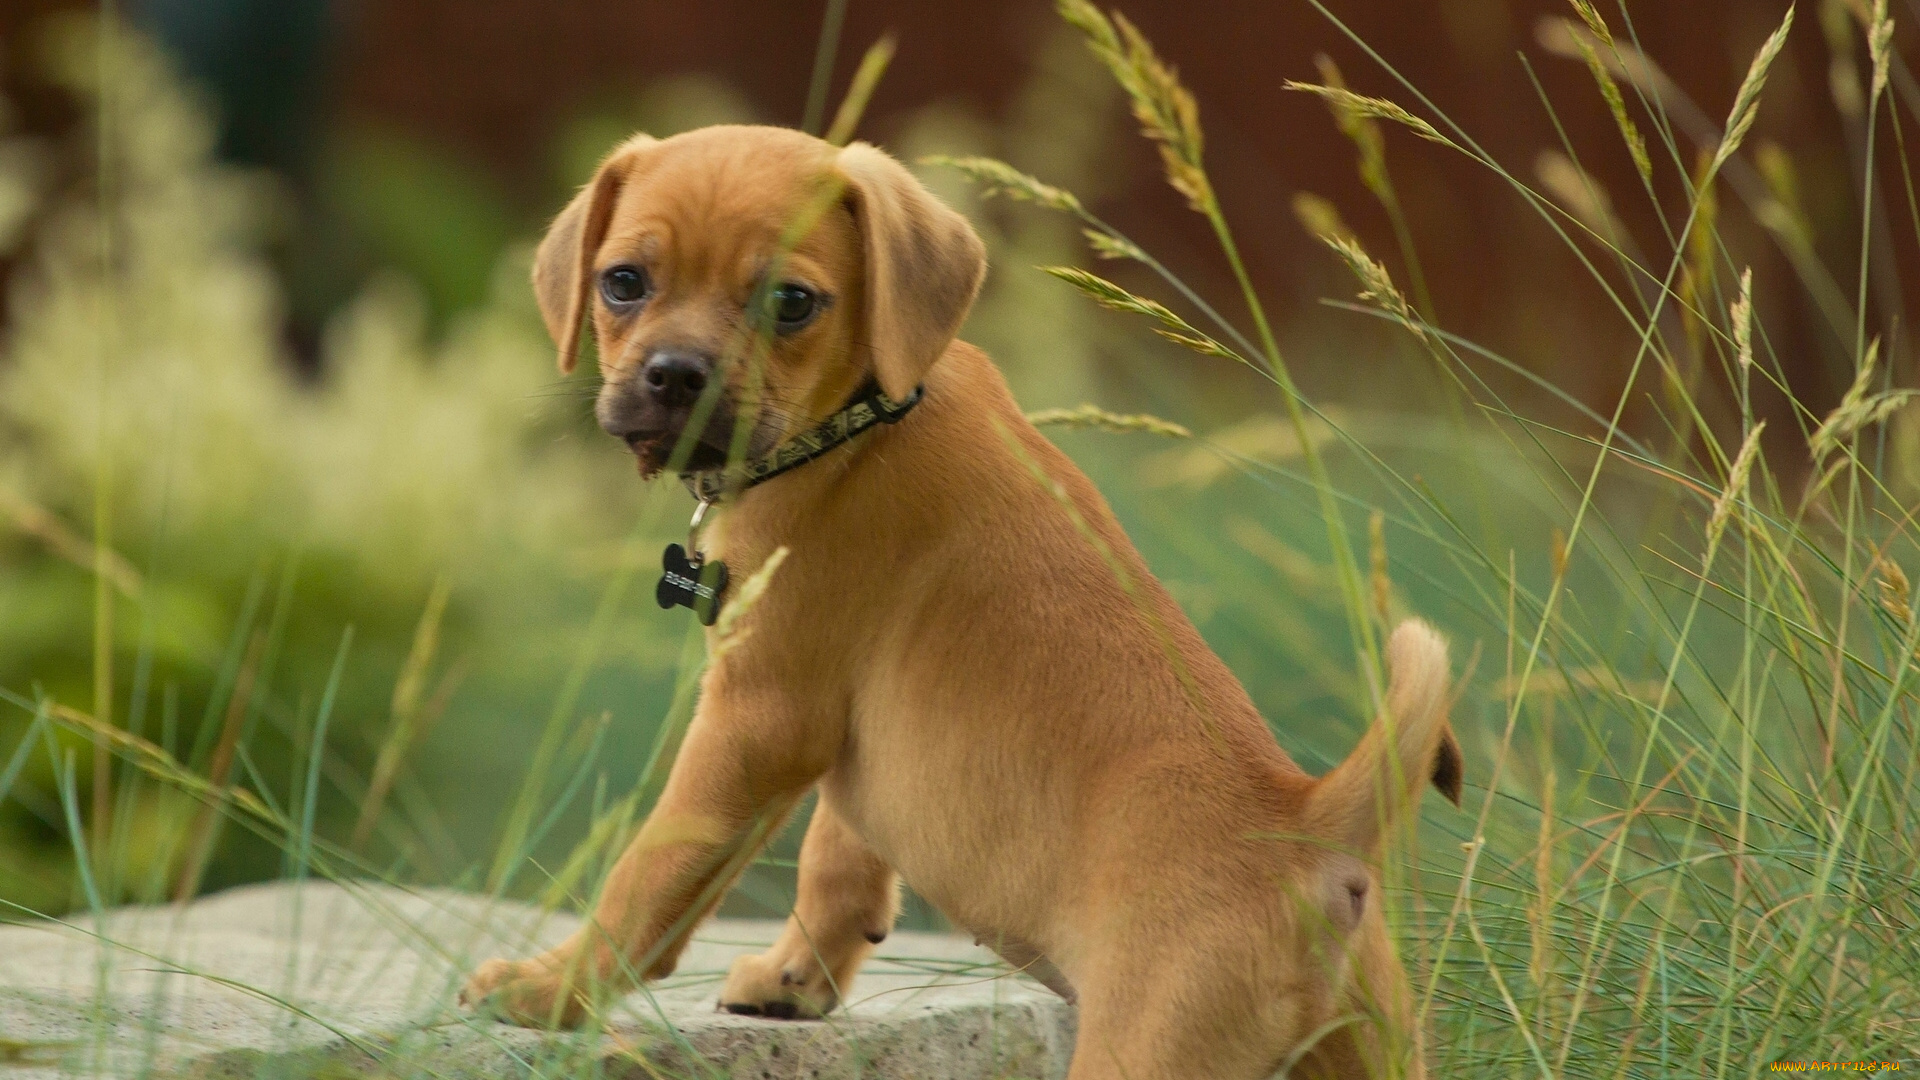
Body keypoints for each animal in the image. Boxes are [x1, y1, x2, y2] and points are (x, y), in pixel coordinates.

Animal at [460, 125, 1451, 1076]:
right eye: (623, 283)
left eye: (791, 302)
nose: (673, 375)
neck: (863, 418)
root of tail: (1310, 833)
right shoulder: (852, 744)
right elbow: (838, 863)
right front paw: (794, 981)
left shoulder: (757, 721)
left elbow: (655, 867)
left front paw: (551, 991)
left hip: (1147, 1049)